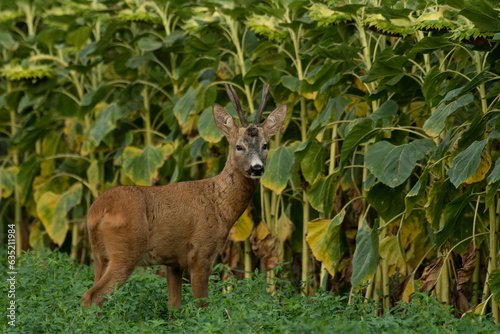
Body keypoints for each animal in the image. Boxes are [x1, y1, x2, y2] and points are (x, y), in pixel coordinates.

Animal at [81, 85, 286, 310]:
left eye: (265, 145)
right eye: (239, 146)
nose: (257, 168)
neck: (219, 204)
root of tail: (96, 211)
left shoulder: (173, 262)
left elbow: (174, 306)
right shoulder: (201, 251)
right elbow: (202, 304)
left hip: (99, 255)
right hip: (126, 249)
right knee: (92, 296)